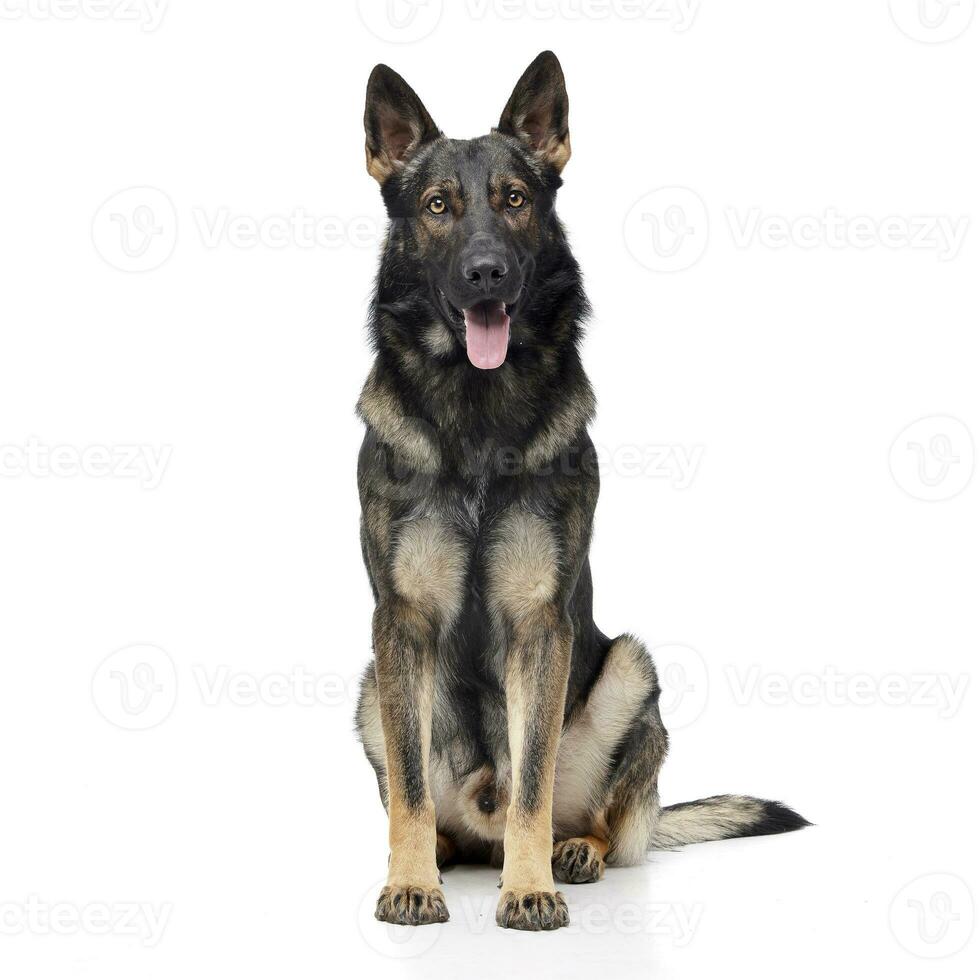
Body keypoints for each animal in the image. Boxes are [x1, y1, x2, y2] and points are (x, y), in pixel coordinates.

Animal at [356, 47, 808, 936]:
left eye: (515, 200)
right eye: (437, 206)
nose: (486, 273)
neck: (478, 415)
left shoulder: (542, 627)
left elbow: (532, 779)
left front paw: (530, 887)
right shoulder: (402, 624)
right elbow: (413, 795)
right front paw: (412, 881)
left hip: (629, 670)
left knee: (595, 815)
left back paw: (573, 853)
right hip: (368, 691)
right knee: (428, 802)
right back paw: (446, 855)